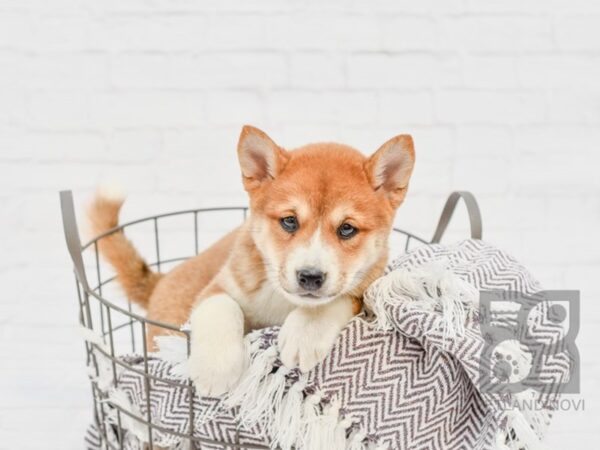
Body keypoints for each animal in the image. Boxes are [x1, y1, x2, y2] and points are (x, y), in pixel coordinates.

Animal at [89, 125, 414, 396]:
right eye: (289, 221)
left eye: (347, 229)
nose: (310, 277)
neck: (281, 302)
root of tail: (161, 281)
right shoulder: (218, 288)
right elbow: (221, 307)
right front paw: (215, 368)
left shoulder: (365, 288)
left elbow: (334, 301)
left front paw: (304, 335)